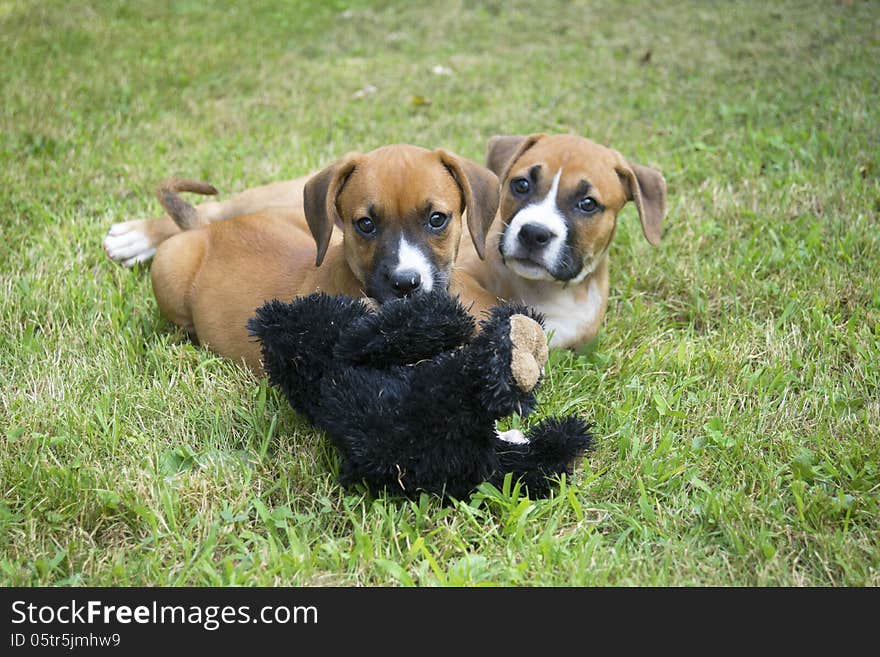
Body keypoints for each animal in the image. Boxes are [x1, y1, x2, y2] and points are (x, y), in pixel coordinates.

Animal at [454, 132, 668, 348]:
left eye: (588, 204)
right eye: (522, 184)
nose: (533, 233)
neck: (539, 287)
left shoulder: (574, 327)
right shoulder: (460, 274)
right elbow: (487, 301)